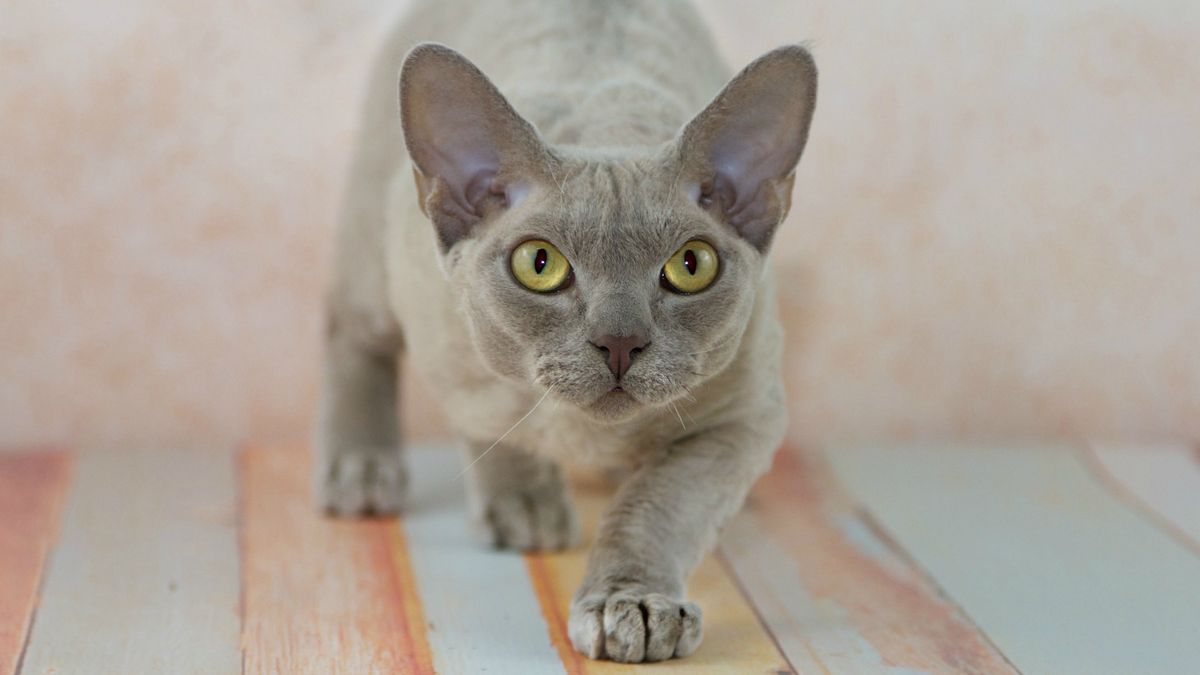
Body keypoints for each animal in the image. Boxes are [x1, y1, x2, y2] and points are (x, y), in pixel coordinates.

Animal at [314, 0, 816, 662]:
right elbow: (493, 426)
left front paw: (633, 603)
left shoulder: (741, 420)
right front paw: (524, 500)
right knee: (352, 334)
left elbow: (659, 506)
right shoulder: (452, 354)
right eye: (540, 264)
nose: (620, 341)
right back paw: (369, 472)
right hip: (378, 268)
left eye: (692, 265)